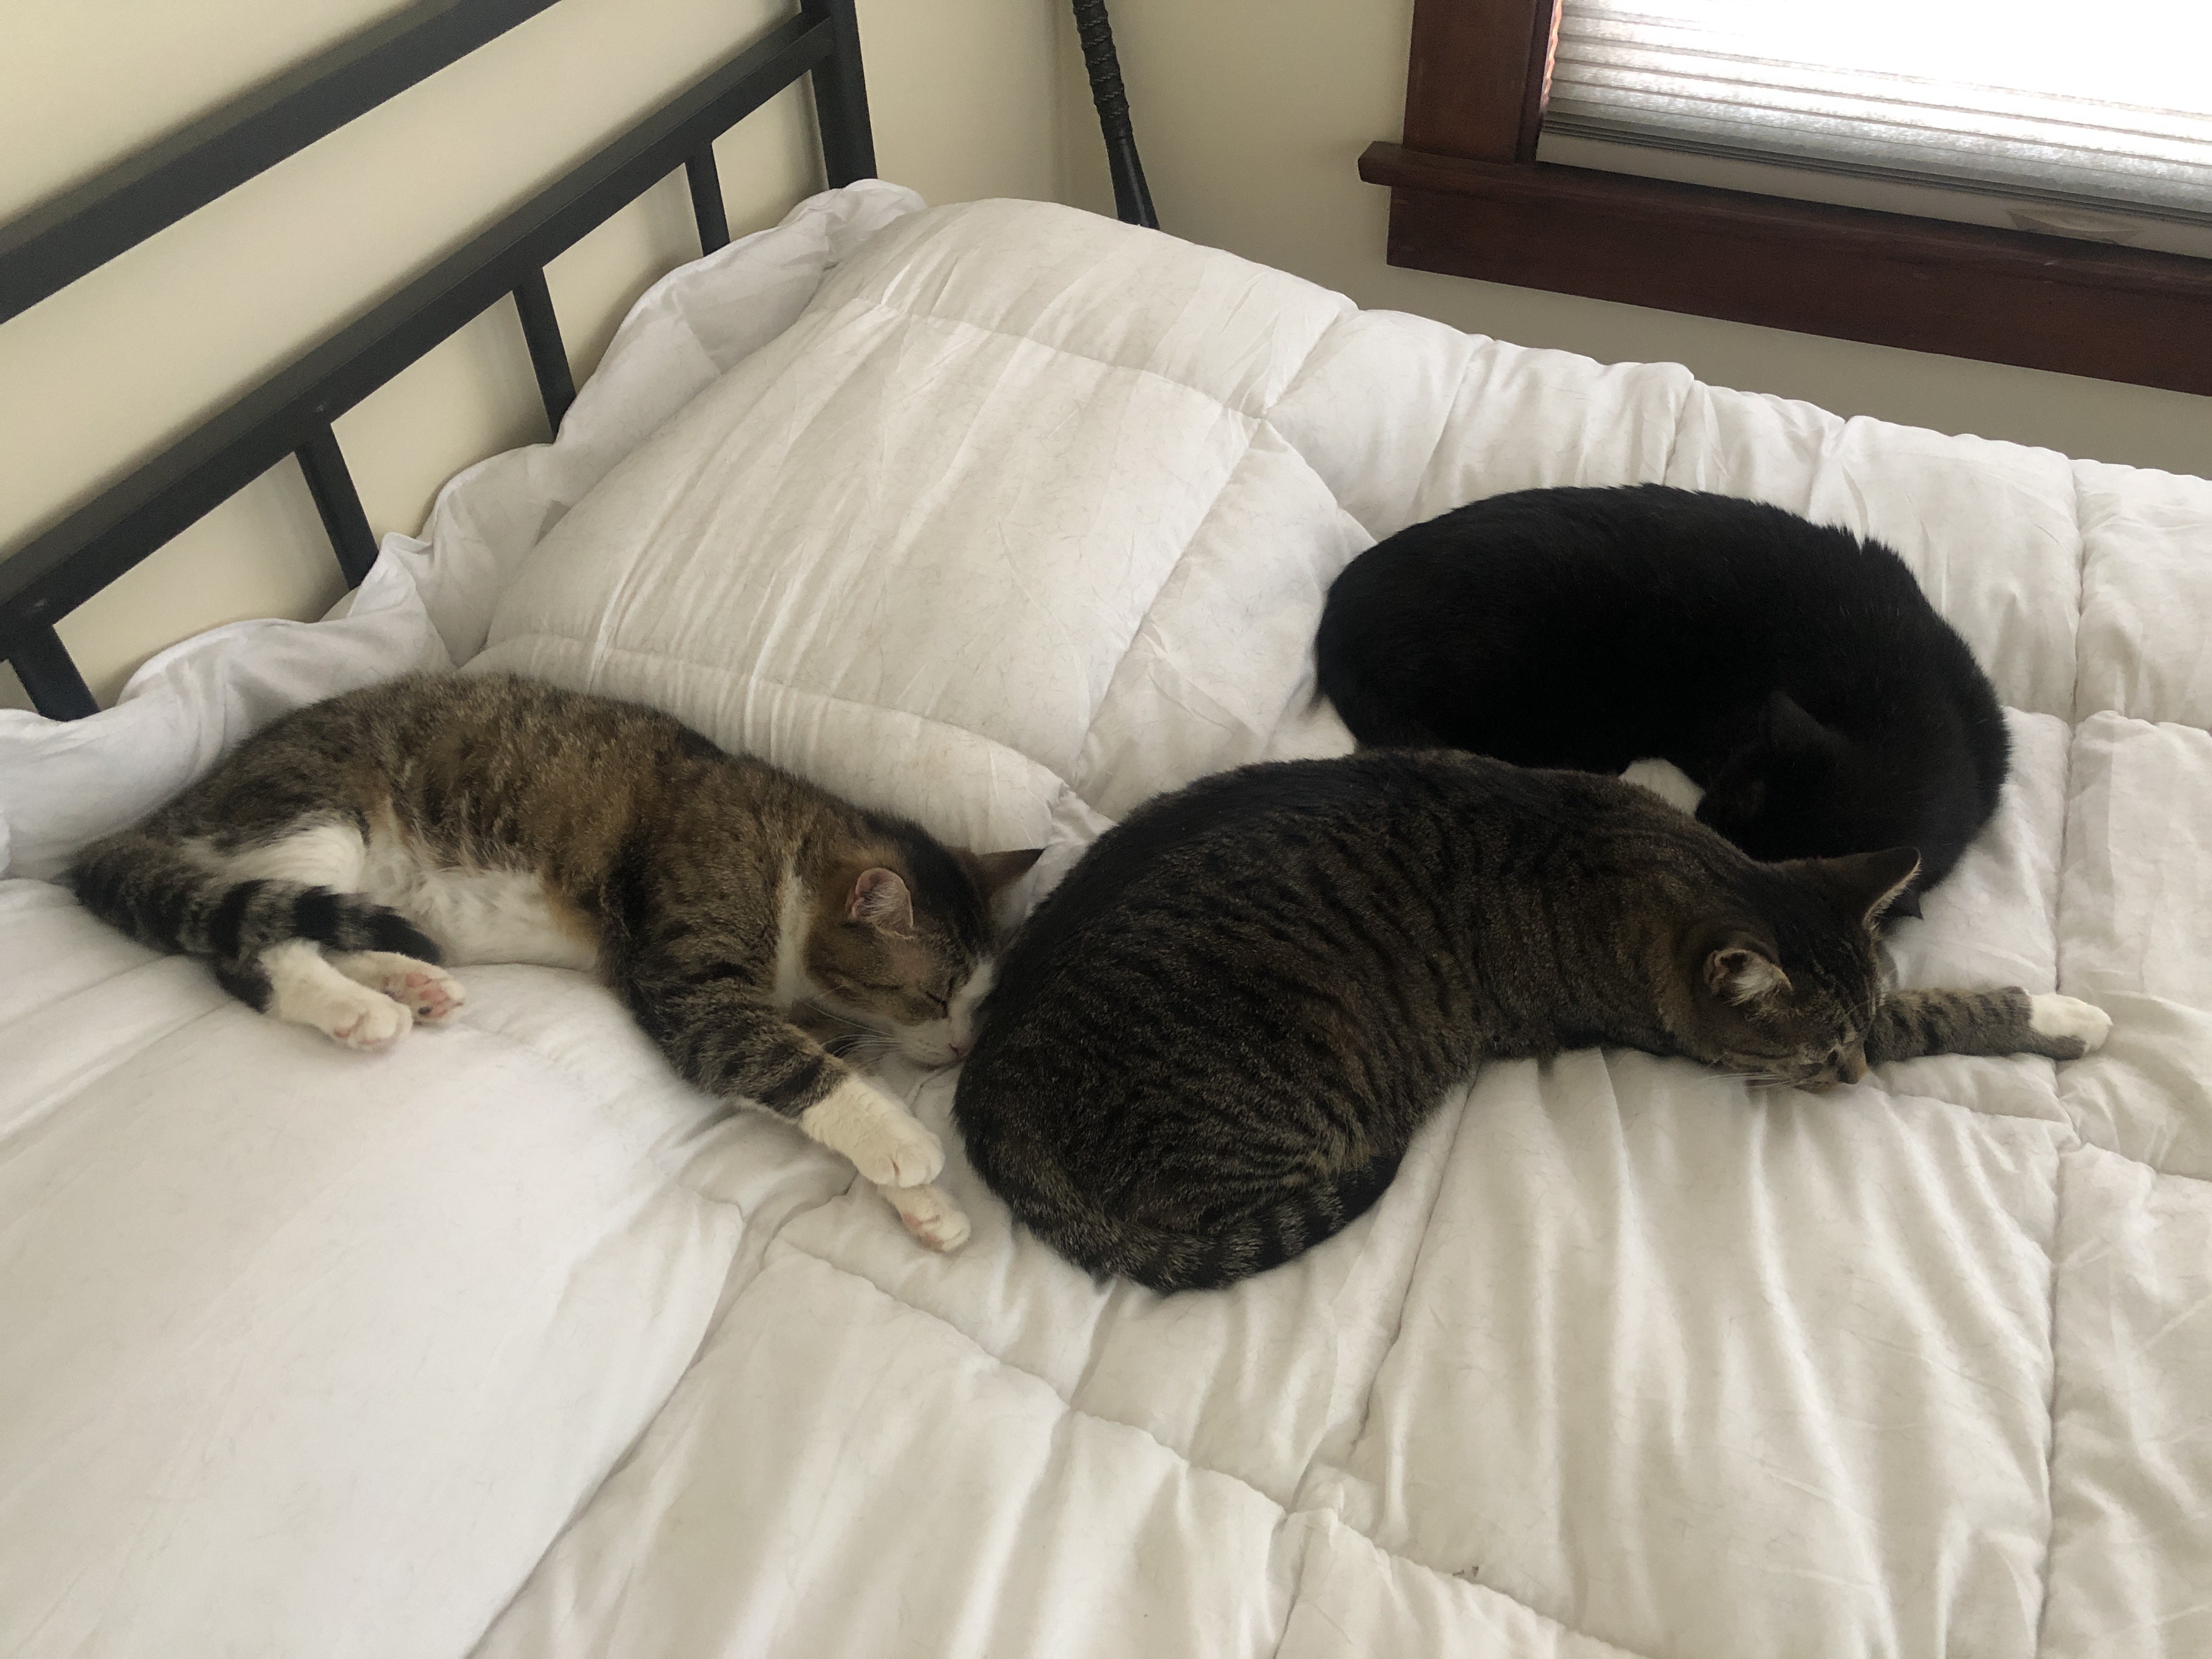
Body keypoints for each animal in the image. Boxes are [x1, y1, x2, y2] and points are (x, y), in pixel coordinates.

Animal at [69, 668, 1035, 1256]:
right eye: (932, 996)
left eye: (979, 1002)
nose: (958, 1049)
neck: (788, 848)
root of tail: (170, 804)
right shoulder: (690, 986)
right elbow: (789, 1066)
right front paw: (907, 1147)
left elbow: (821, 1073)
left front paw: (921, 1205)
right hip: (314, 815)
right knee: (255, 946)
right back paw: (361, 1010)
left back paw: (413, 981)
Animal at [951, 752, 2106, 1300]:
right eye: (1824, 1053)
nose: (1857, 1076)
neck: (1661, 860)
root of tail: (982, 1102)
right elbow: (1945, 1008)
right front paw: (2065, 1008)